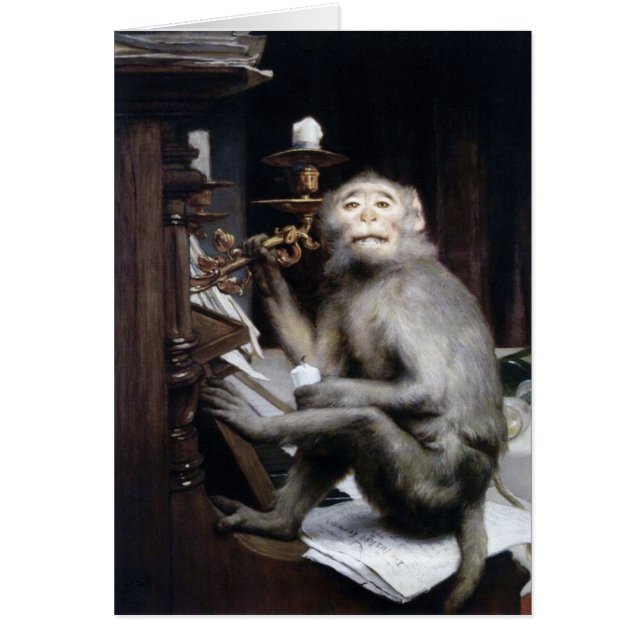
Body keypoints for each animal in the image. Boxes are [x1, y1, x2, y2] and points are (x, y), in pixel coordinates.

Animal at [199, 170, 507, 613]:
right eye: (351, 205)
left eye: (382, 205)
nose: (366, 218)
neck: (380, 271)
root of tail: (477, 494)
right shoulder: (338, 290)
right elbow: (318, 362)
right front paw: (266, 268)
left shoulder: (409, 299)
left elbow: (424, 392)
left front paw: (278, 415)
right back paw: (278, 523)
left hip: (435, 487)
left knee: (362, 422)